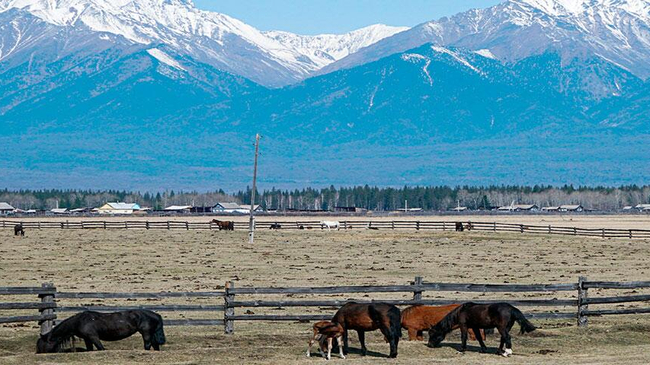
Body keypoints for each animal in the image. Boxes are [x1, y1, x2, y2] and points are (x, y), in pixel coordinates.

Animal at [36, 308, 165, 352]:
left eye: (41, 344)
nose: (38, 352)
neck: (80, 321)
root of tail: (156, 315)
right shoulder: (87, 339)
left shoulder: (93, 337)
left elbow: (100, 348)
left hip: (146, 334)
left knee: (148, 344)